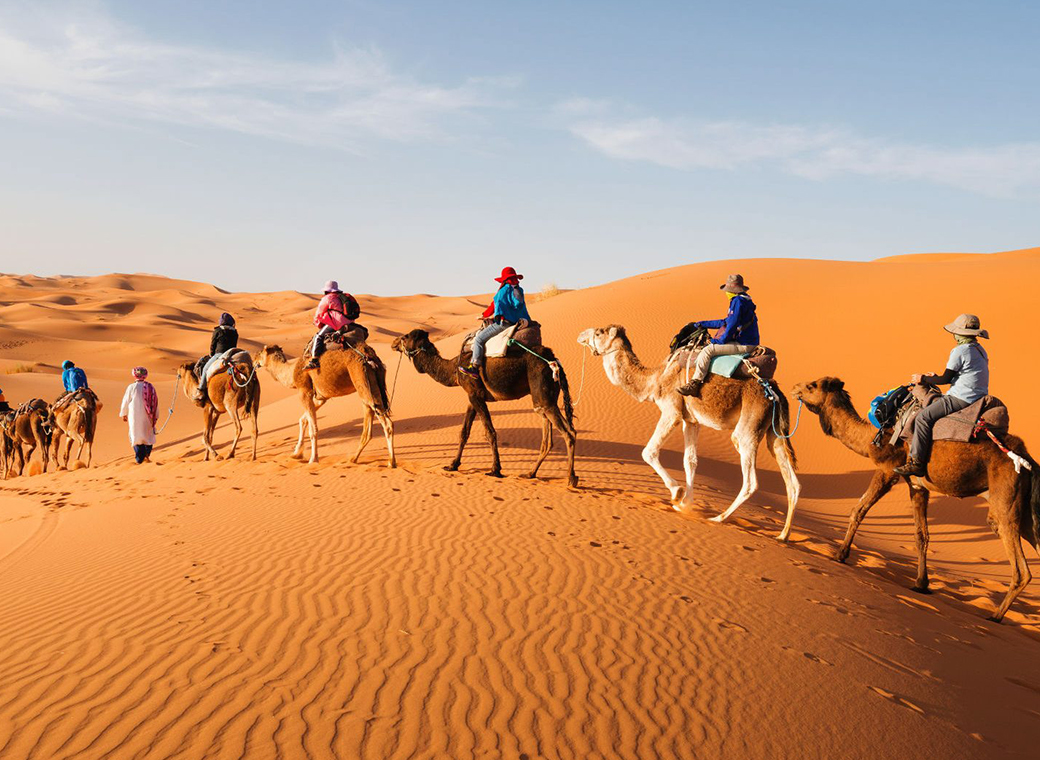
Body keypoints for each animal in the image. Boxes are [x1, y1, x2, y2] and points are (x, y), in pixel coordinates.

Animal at [254, 341, 393, 465]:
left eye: (260, 353)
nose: (254, 359)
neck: (292, 371)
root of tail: (370, 356)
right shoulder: (320, 397)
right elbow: (303, 420)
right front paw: (296, 453)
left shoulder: (304, 391)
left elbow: (313, 429)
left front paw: (313, 459)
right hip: (371, 385)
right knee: (369, 421)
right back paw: (353, 458)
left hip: (361, 378)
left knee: (386, 423)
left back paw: (391, 462)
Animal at [391, 328, 582, 486]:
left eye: (405, 336)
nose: (393, 343)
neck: (454, 368)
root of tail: (554, 360)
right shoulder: (472, 396)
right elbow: (464, 432)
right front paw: (452, 465)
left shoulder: (475, 394)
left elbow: (490, 432)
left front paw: (495, 469)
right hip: (545, 398)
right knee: (547, 438)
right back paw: (530, 473)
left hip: (543, 394)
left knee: (569, 432)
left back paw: (571, 478)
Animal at [574, 326, 798, 540]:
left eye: (599, 332)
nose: (581, 334)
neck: (656, 379)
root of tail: (776, 393)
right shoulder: (691, 421)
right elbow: (690, 460)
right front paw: (686, 504)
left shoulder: (671, 411)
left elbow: (648, 452)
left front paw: (677, 493)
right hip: (774, 432)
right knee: (792, 483)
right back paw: (783, 535)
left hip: (749, 426)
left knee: (750, 480)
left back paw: (718, 518)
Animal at [790, 378, 1035, 619]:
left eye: (812, 386)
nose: (794, 388)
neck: (872, 437)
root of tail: (1027, 460)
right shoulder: (917, 485)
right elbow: (921, 535)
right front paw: (921, 584)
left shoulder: (887, 469)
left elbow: (858, 510)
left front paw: (840, 554)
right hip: (1024, 510)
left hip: (1004, 501)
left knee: (1020, 566)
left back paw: (995, 616)